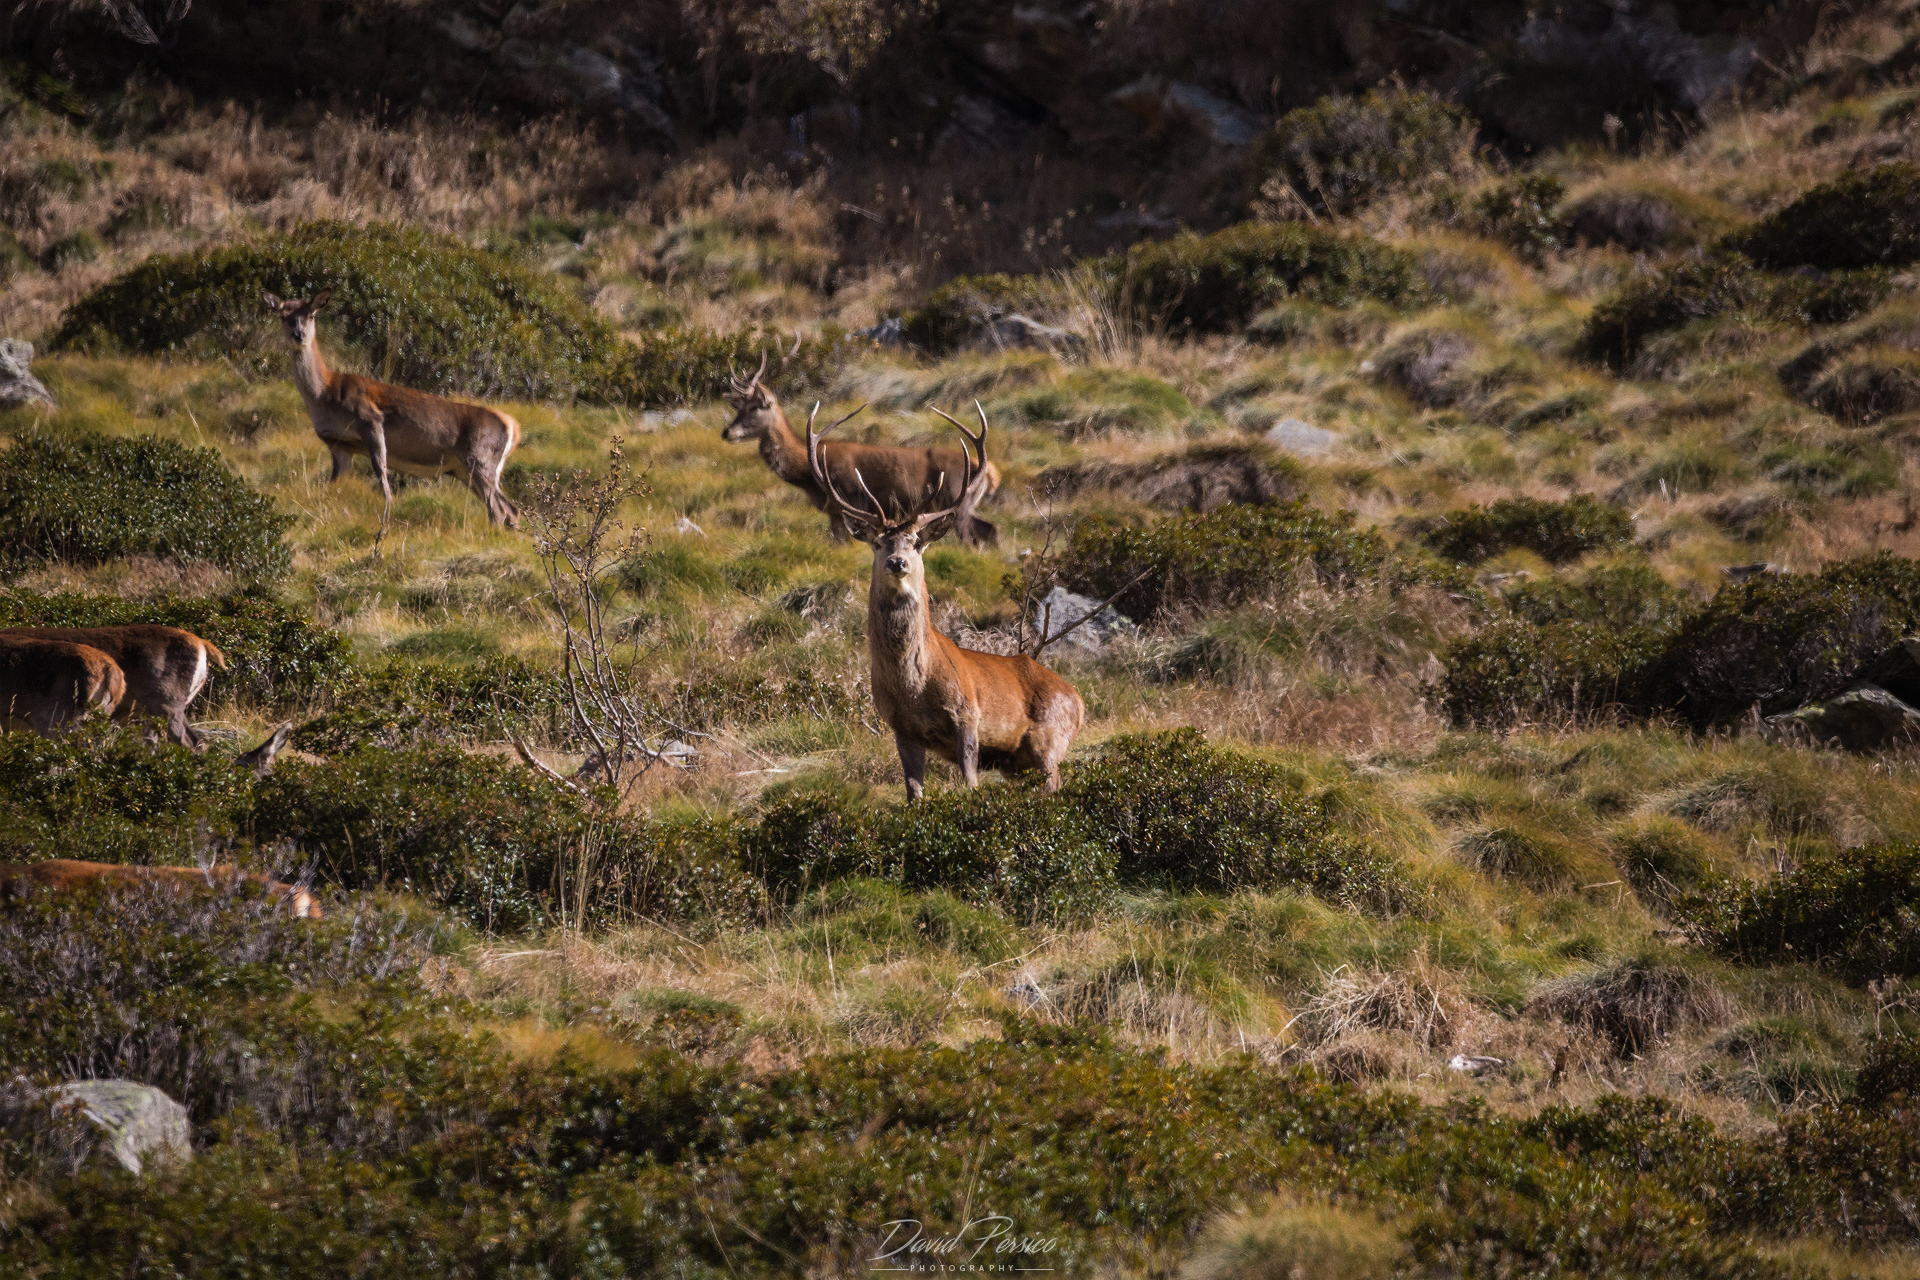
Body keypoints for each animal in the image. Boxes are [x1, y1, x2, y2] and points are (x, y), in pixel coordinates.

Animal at [264, 289, 522, 529]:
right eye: (284, 316)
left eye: (311, 314)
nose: (298, 335)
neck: (325, 395)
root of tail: (512, 425)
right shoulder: (339, 445)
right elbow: (334, 482)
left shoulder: (370, 419)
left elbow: (381, 469)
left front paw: (388, 508)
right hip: (463, 469)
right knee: (510, 508)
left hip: (479, 458)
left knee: (499, 508)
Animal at [722, 349, 1001, 546]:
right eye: (737, 407)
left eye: (755, 407)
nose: (727, 432)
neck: (808, 475)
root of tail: (989, 471)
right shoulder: (835, 513)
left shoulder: (852, 499)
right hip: (965, 504)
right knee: (990, 529)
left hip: (955, 498)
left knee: (972, 537)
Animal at [807, 400, 1084, 799]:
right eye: (878, 542)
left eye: (916, 543)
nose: (897, 561)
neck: (913, 687)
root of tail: (1078, 699)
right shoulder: (900, 727)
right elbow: (913, 793)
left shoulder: (966, 714)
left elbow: (970, 782)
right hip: (1017, 762)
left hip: (1050, 739)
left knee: (1054, 783)